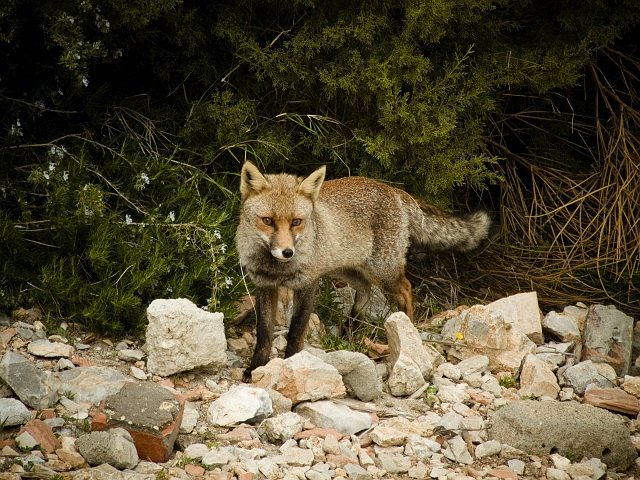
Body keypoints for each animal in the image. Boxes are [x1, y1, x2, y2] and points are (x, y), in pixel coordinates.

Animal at [235, 163, 490, 380]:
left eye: (296, 221)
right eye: (268, 220)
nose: (287, 252)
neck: (277, 269)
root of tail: (394, 190)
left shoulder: (308, 283)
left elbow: (297, 330)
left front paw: (291, 362)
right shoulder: (265, 286)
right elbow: (264, 333)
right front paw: (255, 368)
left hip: (383, 272)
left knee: (406, 288)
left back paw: (406, 325)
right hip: (347, 270)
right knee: (365, 292)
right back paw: (351, 330)